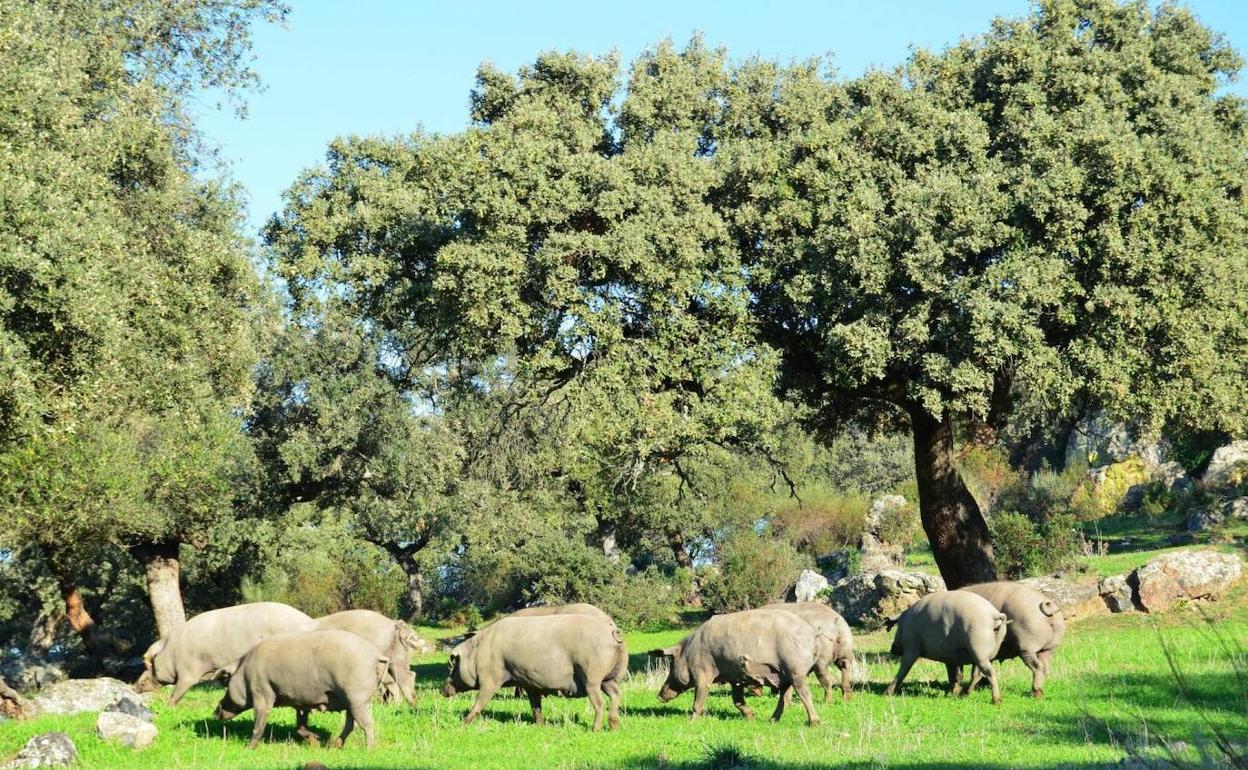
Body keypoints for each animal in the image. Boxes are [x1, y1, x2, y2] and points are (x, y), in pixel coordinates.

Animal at [132, 601, 314, 703]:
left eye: (149, 667)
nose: (134, 687)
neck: (171, 652)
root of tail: (310, 622)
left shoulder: (188, 671)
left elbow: (178, 691)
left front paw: (169, 707)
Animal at [212, 626, 384, 748]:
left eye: (226, 685)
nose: (215, 712)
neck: (245, 671)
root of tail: (376, 655)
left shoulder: (262, 692)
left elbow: (259, 724)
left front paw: (249, 748)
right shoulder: (301, 702)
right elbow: (300, 726)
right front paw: (316, 740)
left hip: (357, 697)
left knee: (367, 724)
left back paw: (369, 750)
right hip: (351, 701)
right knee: (351, 724)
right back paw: (335, 745)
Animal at [648, 606, 823, 728]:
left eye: (672, 665)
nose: (659, 696)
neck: (688, 652)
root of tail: (812, 636)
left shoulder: (702, 672)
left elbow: (698, 700)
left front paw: (691, 722)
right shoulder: (735, 678)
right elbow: (737, 700)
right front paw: (752, 717)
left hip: (795, 669)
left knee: (805, 694)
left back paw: (813, 723)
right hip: (786, 675)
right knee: (785, 698)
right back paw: (771, 720)